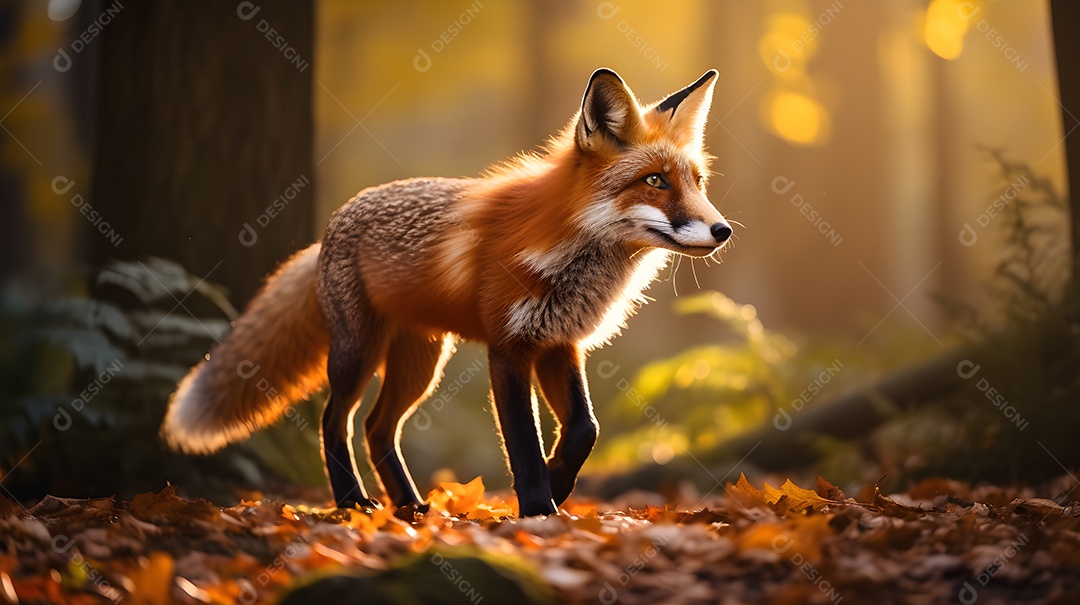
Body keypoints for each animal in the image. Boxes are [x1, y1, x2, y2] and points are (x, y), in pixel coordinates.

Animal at [161, 68, 733, 517]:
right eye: (655, 181)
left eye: (698, 182)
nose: (723, 230)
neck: (570, 253)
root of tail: (331, 226)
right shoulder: (509, 347)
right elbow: (523, 443)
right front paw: (538, 507)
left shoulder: (557, 341)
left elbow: (583, 429)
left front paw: (560, 484)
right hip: (358, 353)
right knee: (334, 420)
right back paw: (352, 500)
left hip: (422, 362)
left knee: (377, 427)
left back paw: (408, 504)